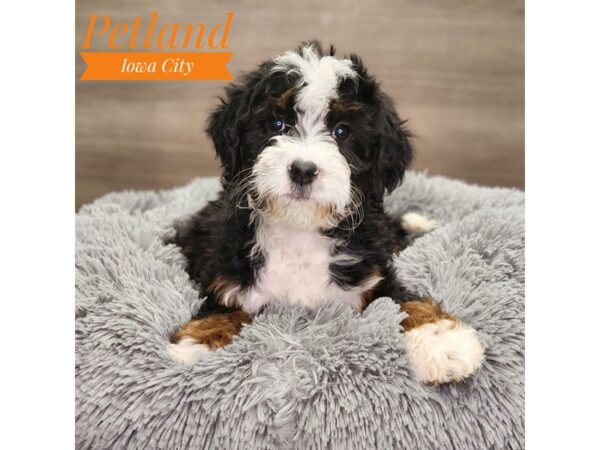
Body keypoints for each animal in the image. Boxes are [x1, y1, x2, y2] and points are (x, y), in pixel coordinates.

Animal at [166, 41, 486, 384]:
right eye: (277, 124)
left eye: (342, 131)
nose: (303, 170)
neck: (300, 229)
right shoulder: (225, 271)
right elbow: (223, 306)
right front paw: (198, 341)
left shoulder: (370, 272)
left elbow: (401, 298)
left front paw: (441, 338)